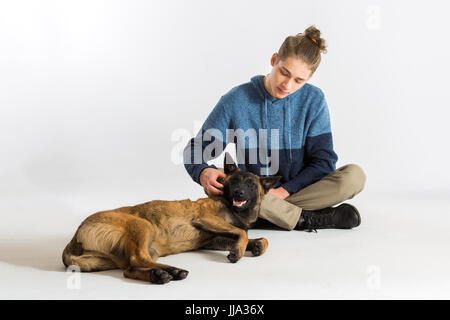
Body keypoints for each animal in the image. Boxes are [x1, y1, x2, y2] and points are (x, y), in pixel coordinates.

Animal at [62, 154, 282, 284]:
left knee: (129, 269)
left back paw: (157, 275)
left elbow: (257, 238)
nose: (239, 193)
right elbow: (240, 233)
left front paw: (255, 245)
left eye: (251, 185)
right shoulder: (206, 218)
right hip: (143, 226)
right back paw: (174, 271)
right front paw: (239, 250)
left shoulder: (213, 239)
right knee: (138, 258)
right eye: (234, 181)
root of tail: (73, 240)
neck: (233, 208)